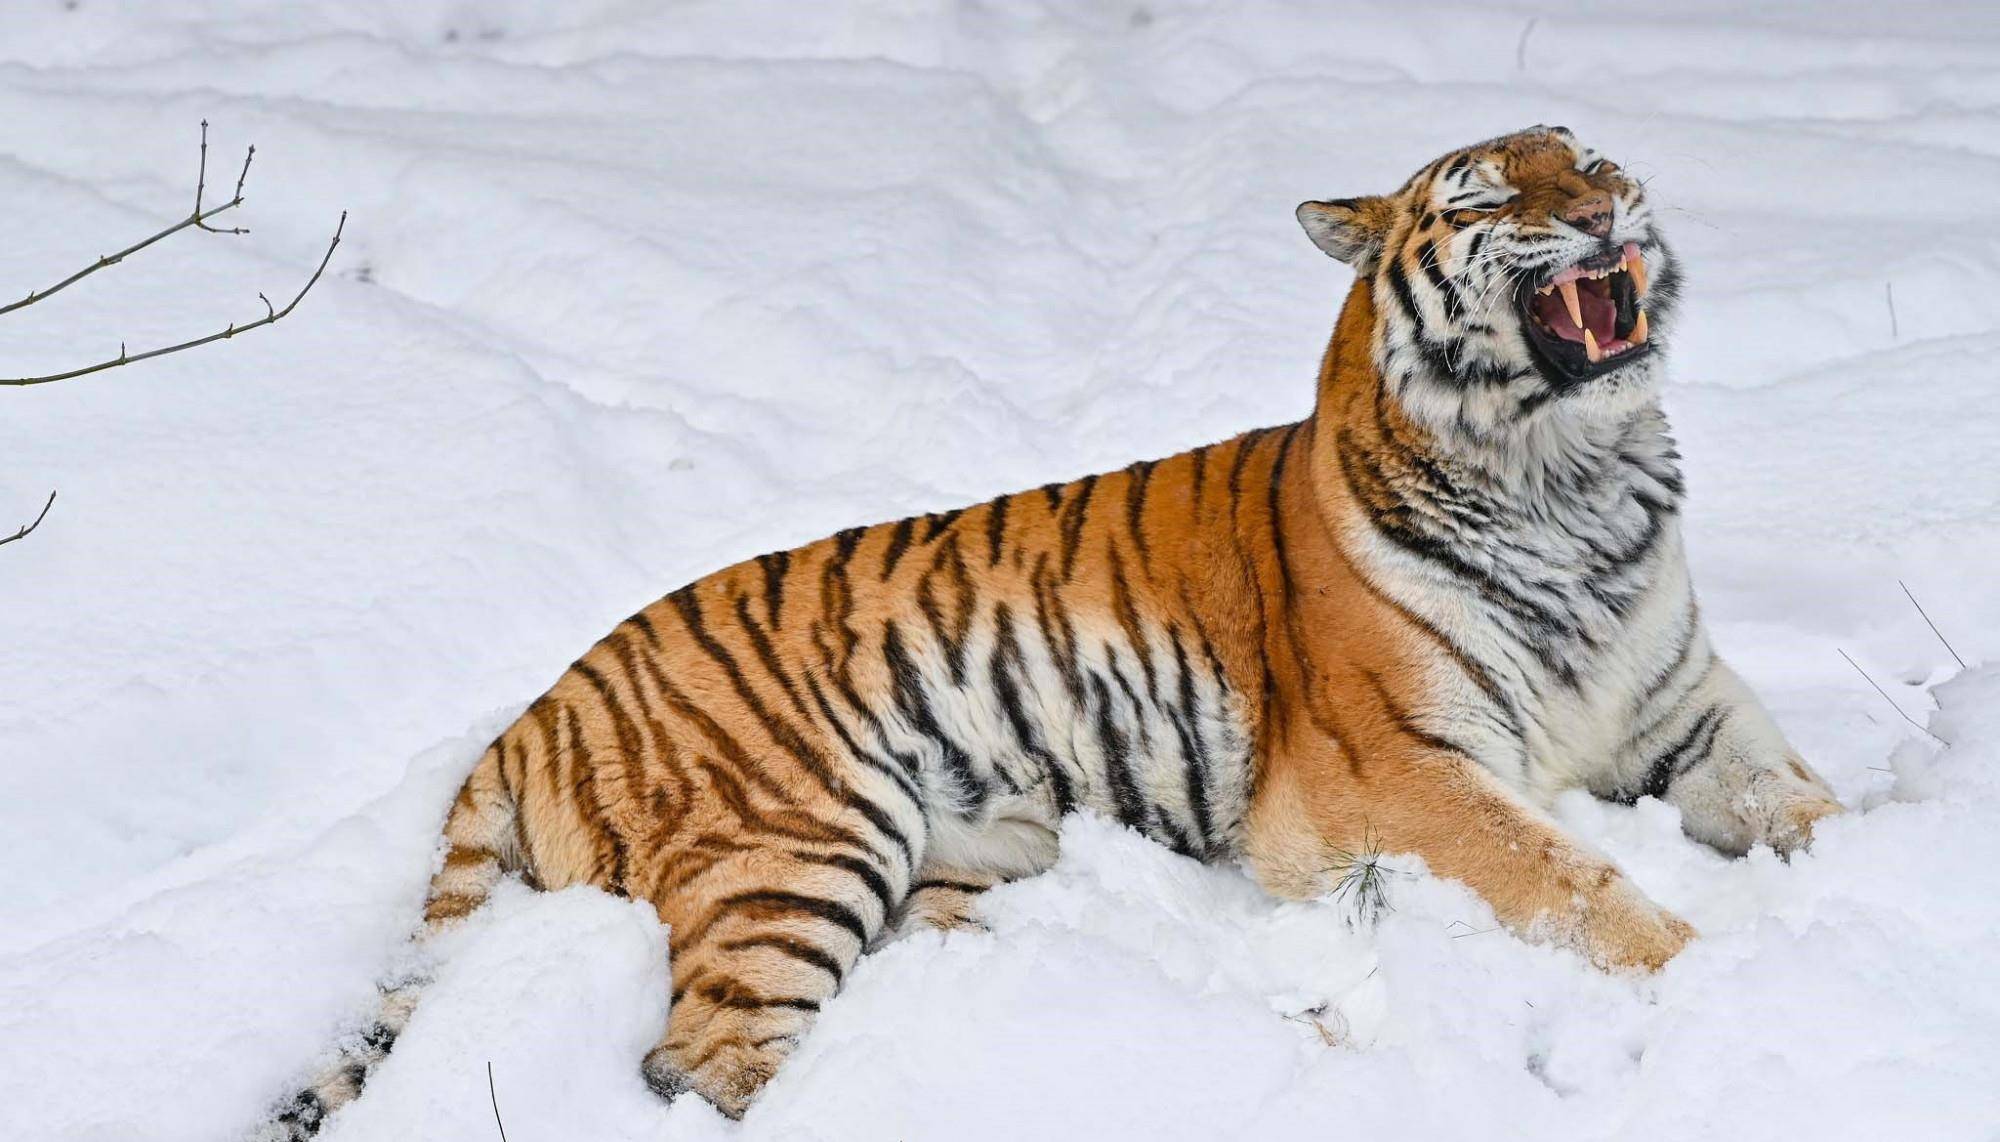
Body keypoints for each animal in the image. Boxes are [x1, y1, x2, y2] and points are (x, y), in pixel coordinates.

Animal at [262, 125, 1840, 1136]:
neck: (1573, 478)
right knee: (695, 1062)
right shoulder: (1395, 776)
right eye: (1486, 190)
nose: (1606, 198)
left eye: (1588, 156)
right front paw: (1709, 976)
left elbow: (1808, 805)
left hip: (959, 862)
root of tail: (537, 706)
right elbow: (1576, 882)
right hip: (799, 846)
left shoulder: (1686, 713)